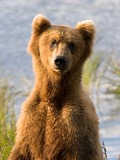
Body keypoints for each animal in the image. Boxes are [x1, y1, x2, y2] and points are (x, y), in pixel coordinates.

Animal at [8, 14, 102, 159]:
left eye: (72, 44)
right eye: (53, 42)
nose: (60, 60)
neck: (54, 93)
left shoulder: (75, 123)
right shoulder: (31, 120)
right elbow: (21, 150)